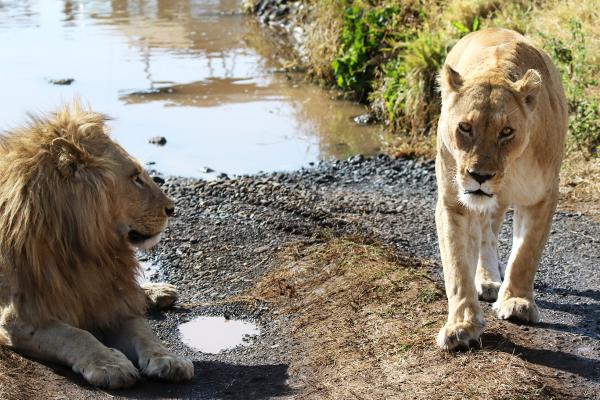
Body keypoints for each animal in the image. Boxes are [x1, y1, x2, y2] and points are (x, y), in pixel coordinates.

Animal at [0, 104, 193, 388]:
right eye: (136, 177)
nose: (172, 208)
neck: (87, 248)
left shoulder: (109, 298)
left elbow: (144, 332)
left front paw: (169, 360)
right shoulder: (19, 316)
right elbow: (75, 335)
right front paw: (110, 365)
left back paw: (158, 292)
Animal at [436, 28, 568, 348]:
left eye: (507, 131)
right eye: (465, 127)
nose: (480, 176)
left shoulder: (543, 195)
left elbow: (525, 253)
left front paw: (518, 303)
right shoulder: (452, 201)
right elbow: (456, 265)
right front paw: (462, 325)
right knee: (485, 233)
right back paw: (485, 280)